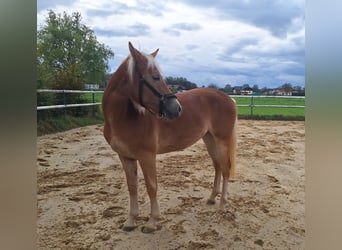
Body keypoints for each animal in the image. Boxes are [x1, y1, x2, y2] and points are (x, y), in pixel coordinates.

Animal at [101, 42, 236, 233]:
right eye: (155, 77)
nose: (176, 108)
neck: (123, 118)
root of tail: (228, 98)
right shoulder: (125, 157)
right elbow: (132, 187)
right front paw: (131, 221)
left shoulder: (147, 156)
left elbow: (151, 186)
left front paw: (152, 222)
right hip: (209, 139)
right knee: (217, 166)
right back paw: (212, 198)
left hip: (222, 140)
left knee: (225, 169)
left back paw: (223, 205)